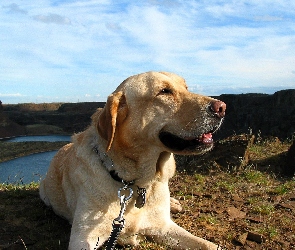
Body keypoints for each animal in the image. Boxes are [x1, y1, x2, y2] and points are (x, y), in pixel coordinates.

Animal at [40, 71, 227, 249]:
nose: (222, 107)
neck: (136, 182)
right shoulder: (83, 238)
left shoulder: (164, 227)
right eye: (164, 91)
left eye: (186, 88)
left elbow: (208, 245)